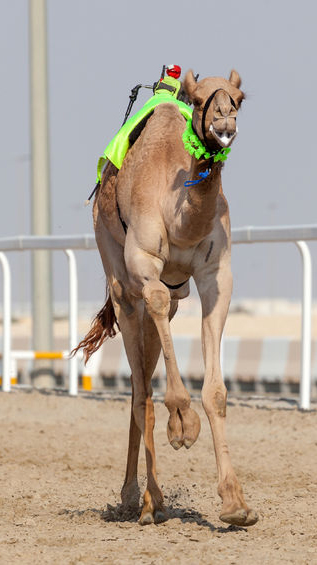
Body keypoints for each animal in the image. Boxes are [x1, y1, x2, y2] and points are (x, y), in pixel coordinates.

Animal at [76, 68, 256, 528]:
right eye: (199, 100)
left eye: (240, 98)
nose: (224, 123)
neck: (183, 218)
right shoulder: (144, 265)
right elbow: (153, 303)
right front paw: (183, 426)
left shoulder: (215, 277)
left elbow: (216, 393)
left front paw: (236, 504)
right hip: (119, 281)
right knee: (141, 388)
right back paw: (143, 499)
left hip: (172, 298)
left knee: (144, 375)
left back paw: (144, 499)